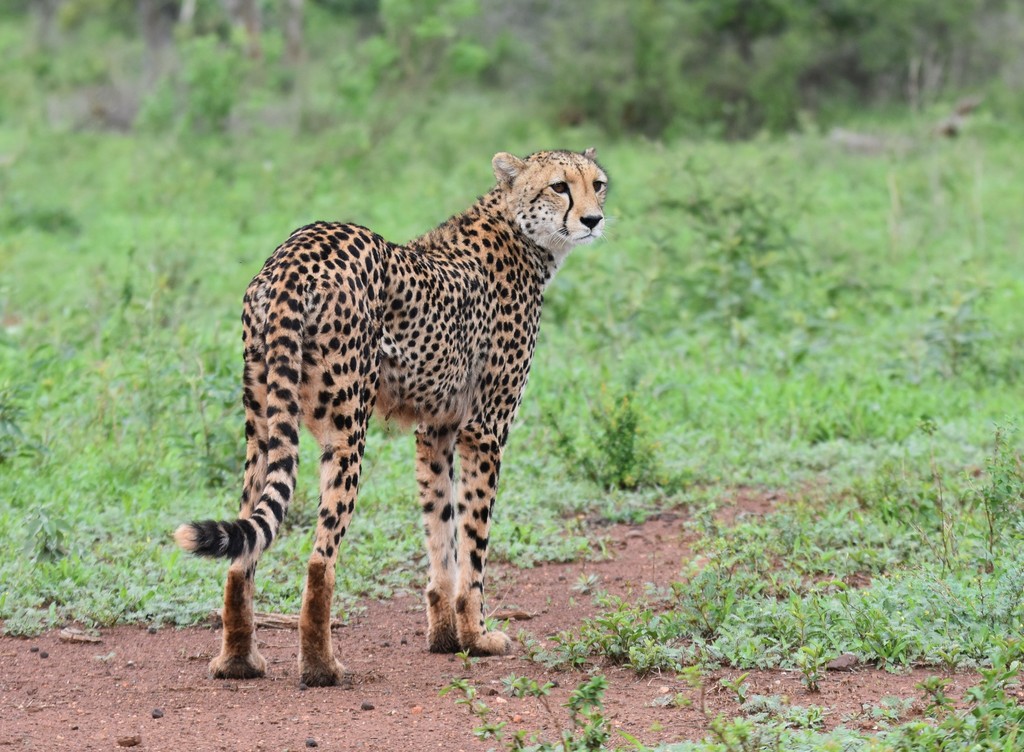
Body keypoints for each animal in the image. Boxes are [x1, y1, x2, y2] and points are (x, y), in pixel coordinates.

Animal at [174, 148, 609, 687]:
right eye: (559, 187)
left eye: (597, 184)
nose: (593, 219)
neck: (519, 232)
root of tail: (295, 251)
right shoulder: (484, 430)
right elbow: (473, 543)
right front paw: (478, 636)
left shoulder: (436, 429)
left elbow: (441, 533)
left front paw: (445, 636)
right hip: (346, 430)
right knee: (319, 560)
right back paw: (321, 668)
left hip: (262, 427)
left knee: (243, 550)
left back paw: (238, 662)